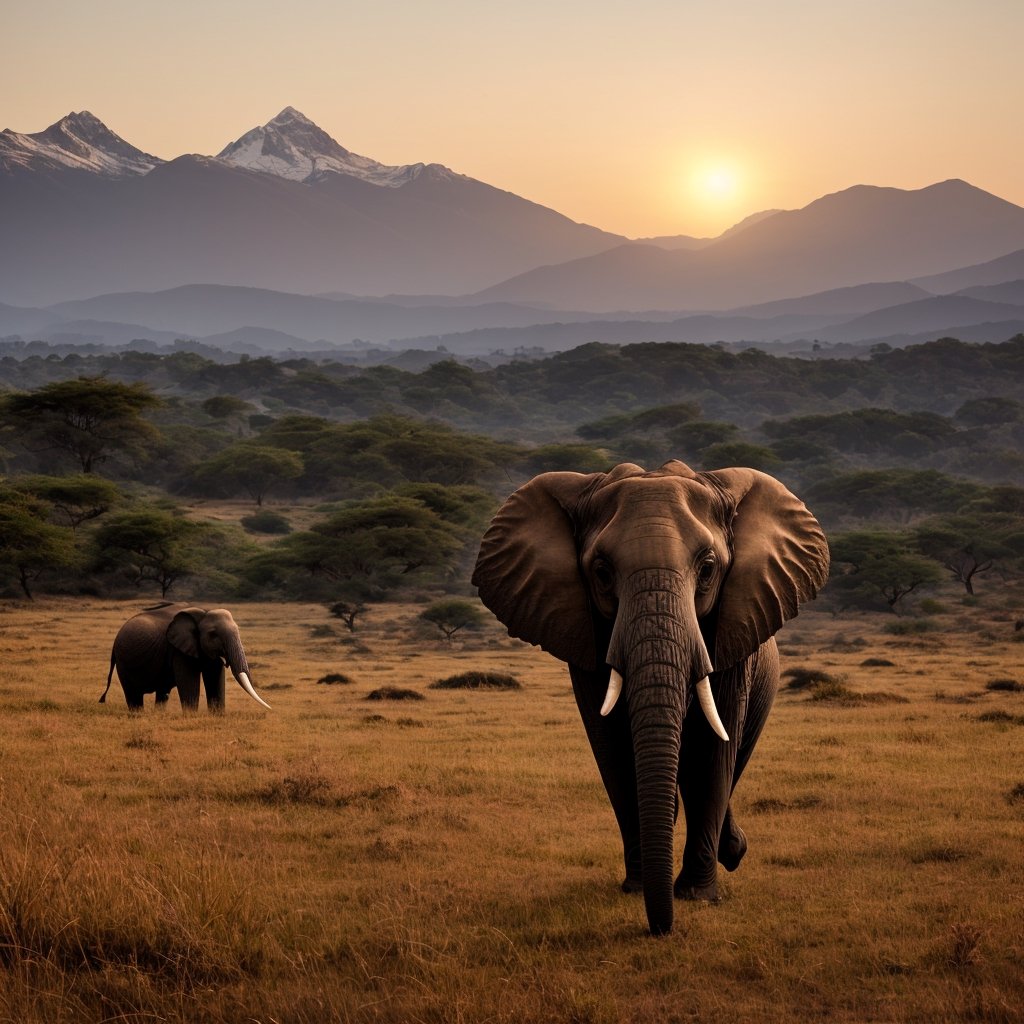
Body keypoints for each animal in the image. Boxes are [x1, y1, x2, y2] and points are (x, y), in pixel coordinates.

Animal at [96, 598, 270, 712]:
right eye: (213, 635)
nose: (270, 709)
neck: (203, 611)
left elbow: (215, 678)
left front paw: (217, 716)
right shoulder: (177, 649)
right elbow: (189, 680)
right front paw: (190, 716)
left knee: (161, 693)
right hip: (123, 660)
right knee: (133, 694)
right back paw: (137, 715)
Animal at [473, 462, 831, 937]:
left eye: (708, 569)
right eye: (602, 571)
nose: (660, 930)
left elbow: (712, 753)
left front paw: (697, 895)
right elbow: (613, 747)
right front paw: (638, 888)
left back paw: (731, 851)